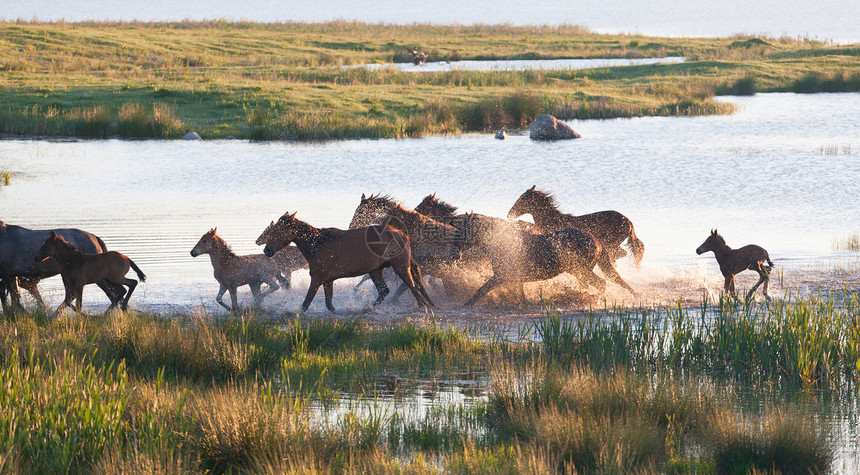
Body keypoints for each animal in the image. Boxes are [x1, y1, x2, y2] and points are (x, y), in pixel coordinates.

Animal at [254, 212, 430, 312]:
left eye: (277, 230)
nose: (267, 250)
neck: (315, 245)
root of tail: (402, 234)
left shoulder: (317, 277)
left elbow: (306, 302)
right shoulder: (327, 279)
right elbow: (329, 304)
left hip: (401, 266)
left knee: (413, 287)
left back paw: (422, 307)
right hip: (375, 270)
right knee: (384, 291)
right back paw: (368, 308)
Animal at [454, 214, 608, 306]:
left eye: (462, 229)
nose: (455, 252)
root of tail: (596, 241)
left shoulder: (502, 276)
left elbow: (481, 289)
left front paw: (467, 304)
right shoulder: (515, 277)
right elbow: (520, 293)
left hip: (580, 270)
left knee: (601, 283)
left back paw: (599, 301)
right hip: (580, 272)